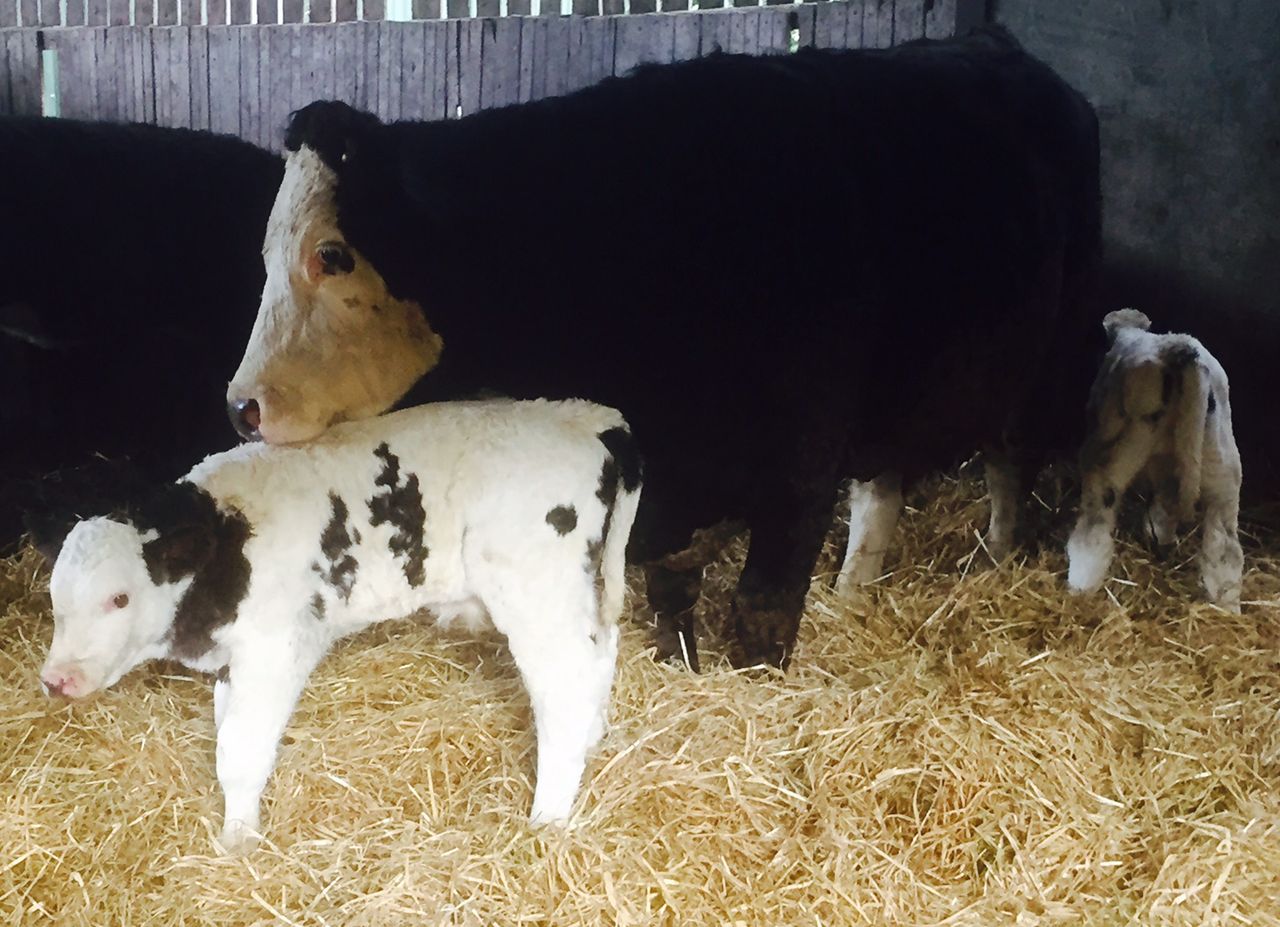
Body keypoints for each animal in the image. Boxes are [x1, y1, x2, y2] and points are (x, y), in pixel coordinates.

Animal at [33, 398, 641, 852]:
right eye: (56, 598)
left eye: (119, 598)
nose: (57, 680)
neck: (228, 539)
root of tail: (590, 418)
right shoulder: (235, 659)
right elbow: (228, 744)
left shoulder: (276, 648)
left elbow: (243, 750)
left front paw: (240, 842)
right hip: (583, 589)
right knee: (599, 656)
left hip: (538, 596)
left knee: (564, 694)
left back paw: (548, 821)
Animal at [225, 27, 1102, 670]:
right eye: (263, 255)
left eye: (332, 255)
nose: (241, 406)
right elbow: (673, 589)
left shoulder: (798, 470)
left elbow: (761, 606)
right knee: (884, 483)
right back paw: (859, 580)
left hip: (1050, 364)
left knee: (1012, 464)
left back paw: (999, 554)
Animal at [1067, 309, 1243, 610]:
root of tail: (1179, 348)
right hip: (1222, 467)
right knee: (1225, 549)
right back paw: (1226, 608)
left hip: (1114, 457)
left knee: (1094, 527)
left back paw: (1080, 588)